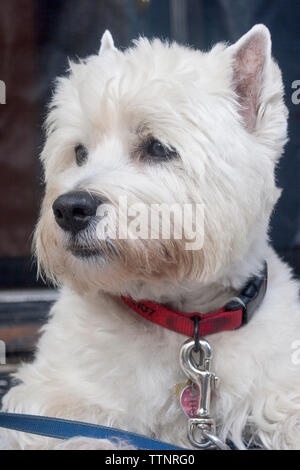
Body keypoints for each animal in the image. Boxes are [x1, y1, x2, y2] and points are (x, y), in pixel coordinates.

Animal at [2, 23, 300, 450]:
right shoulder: (52, 398)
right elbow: (78, 432)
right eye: (79, 152)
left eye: (157, 148)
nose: (69, 209)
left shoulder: (281, 384)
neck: (184, 321)